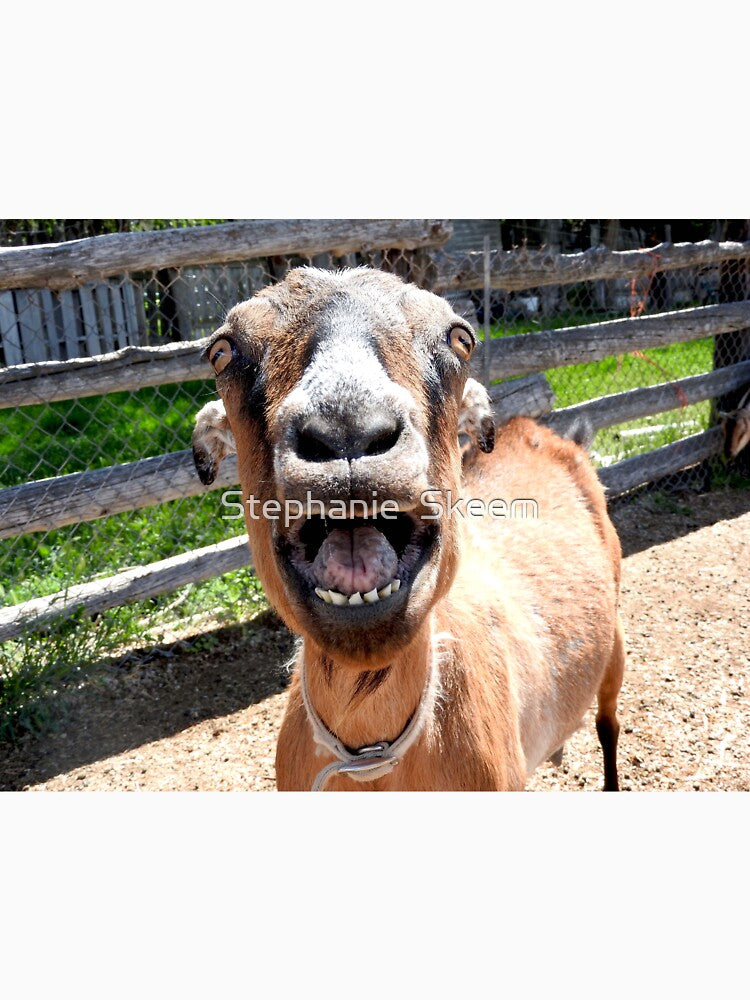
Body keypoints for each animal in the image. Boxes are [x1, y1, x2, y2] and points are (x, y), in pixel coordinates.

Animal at [195, 267, 625, 791]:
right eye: (222, 350)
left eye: (460, 338)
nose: (347, 427)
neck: (372, 760)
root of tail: (546, 433)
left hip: (615, 639)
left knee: (608, 722)